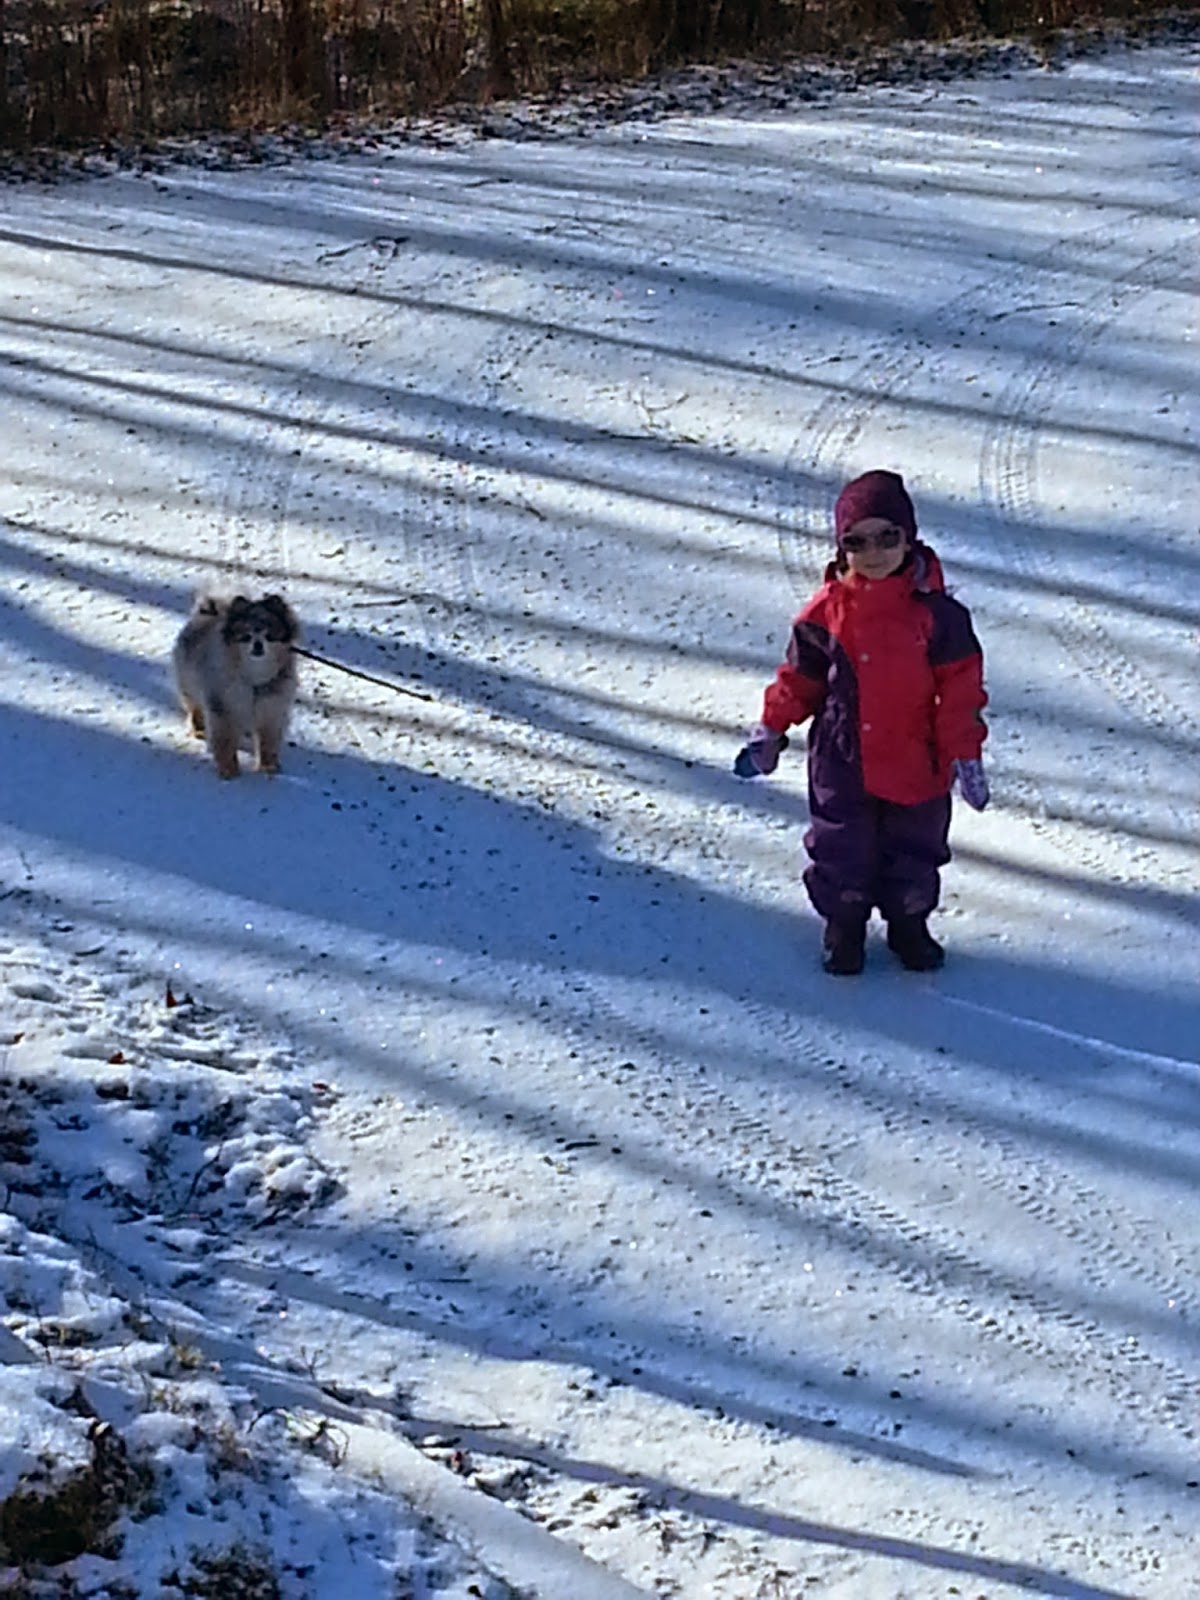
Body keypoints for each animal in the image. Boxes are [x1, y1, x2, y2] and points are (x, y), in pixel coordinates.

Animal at [172, 592, 300, 778]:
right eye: (246, 636)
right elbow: (225, 740)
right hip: (189, 685)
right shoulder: (224, 708)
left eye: (269, 635)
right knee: (195, 708)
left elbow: (268, 741)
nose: (258, 644)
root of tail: (207, 611)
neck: (254, 680)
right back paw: (199, 729)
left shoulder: (271, 710)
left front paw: (268, 766)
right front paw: (228, 769)